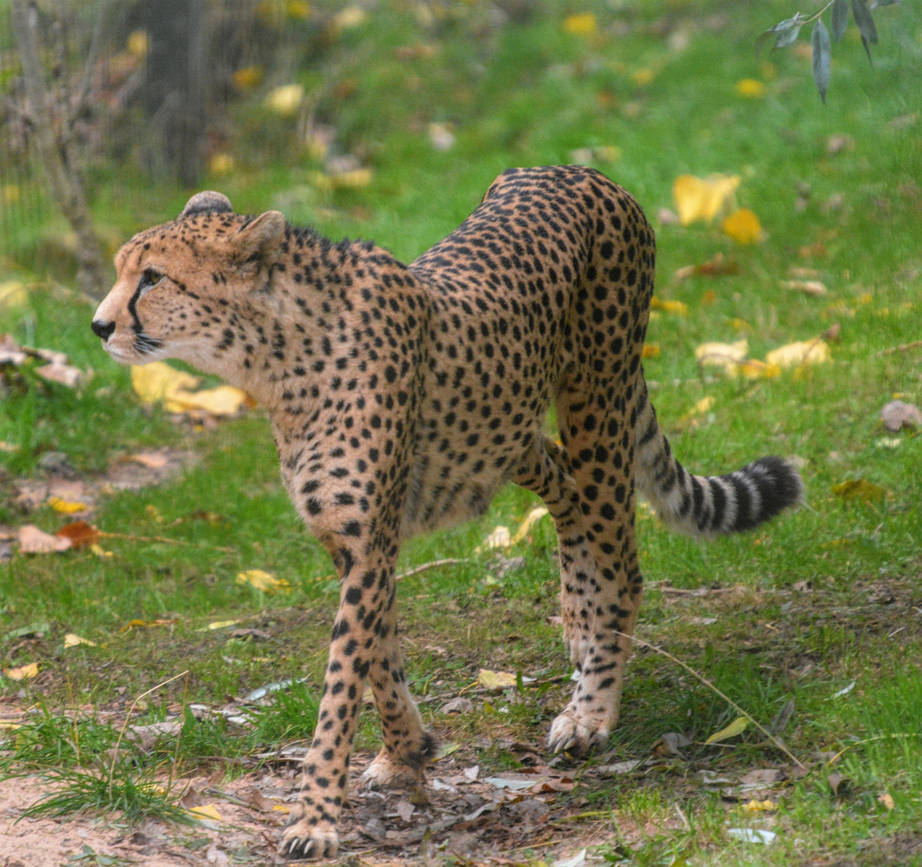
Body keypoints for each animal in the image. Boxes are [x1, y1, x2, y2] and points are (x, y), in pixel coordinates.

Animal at [92, 165, 802, 859]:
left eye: (152, 277)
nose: (99, 326)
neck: (276, 358)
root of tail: (582, 171)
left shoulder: (370, 542)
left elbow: (340, 686)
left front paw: (315, 818)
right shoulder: (353, 542)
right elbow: (379, 655)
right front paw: (407, 751)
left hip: (598, 402)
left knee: (618, 554)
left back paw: (591, 708)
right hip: (508, 431)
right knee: (565, 489)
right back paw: (576, 620)